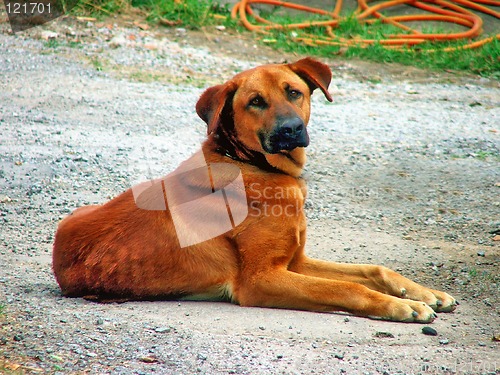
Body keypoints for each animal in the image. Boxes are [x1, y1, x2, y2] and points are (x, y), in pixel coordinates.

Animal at [53, 57, 458, 322]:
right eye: (256, 102)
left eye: (294, 93)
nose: (290, 130)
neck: (254, 165)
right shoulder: (260, 279)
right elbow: (345, 289)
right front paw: (402, 306)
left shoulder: (295, 262)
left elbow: (374, 269)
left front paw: (425, 293)